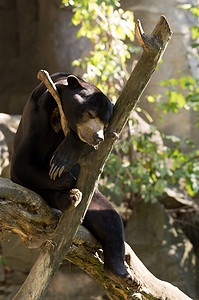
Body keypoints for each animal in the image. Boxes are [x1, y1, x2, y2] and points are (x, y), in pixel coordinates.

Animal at [10, 72, 138, 288]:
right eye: (91, 114)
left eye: (106, 124)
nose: (98, 137)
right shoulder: (38, 115)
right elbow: (24, 162)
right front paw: (64, 176)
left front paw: (63, 158)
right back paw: (69, 197)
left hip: (93, 201)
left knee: (110, 218)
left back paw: (122, 274)